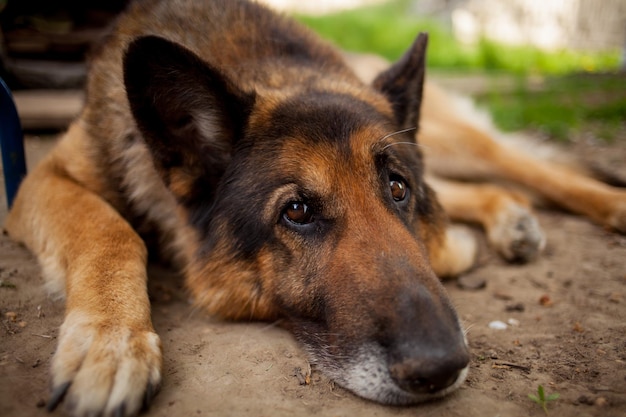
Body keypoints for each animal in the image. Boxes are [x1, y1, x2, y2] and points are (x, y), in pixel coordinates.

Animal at [4, 0, 624, 416]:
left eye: (397, 189)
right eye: (297, 211)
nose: (442, 366)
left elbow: (444, 235)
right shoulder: (40, 180)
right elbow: (110, 230)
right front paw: (110, 344)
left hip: (454, 139)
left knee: (529, 169)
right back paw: (509, 219)